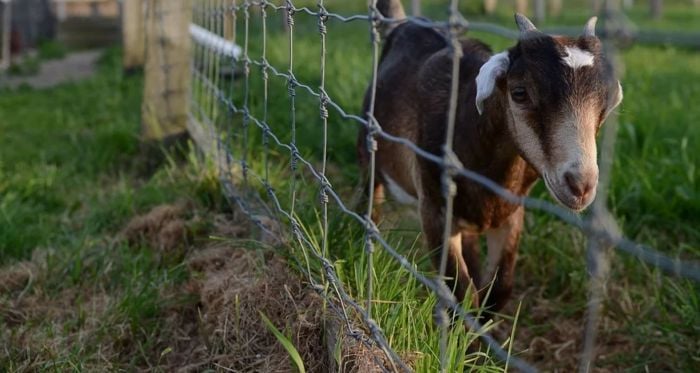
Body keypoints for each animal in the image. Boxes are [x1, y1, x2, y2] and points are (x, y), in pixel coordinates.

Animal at [360, 1, 624, 316]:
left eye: (607, 103)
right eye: (519, 93)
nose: (580, 185)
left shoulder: (511, 212)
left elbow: (500, 288)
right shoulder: (434, 209)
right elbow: (461, 292)